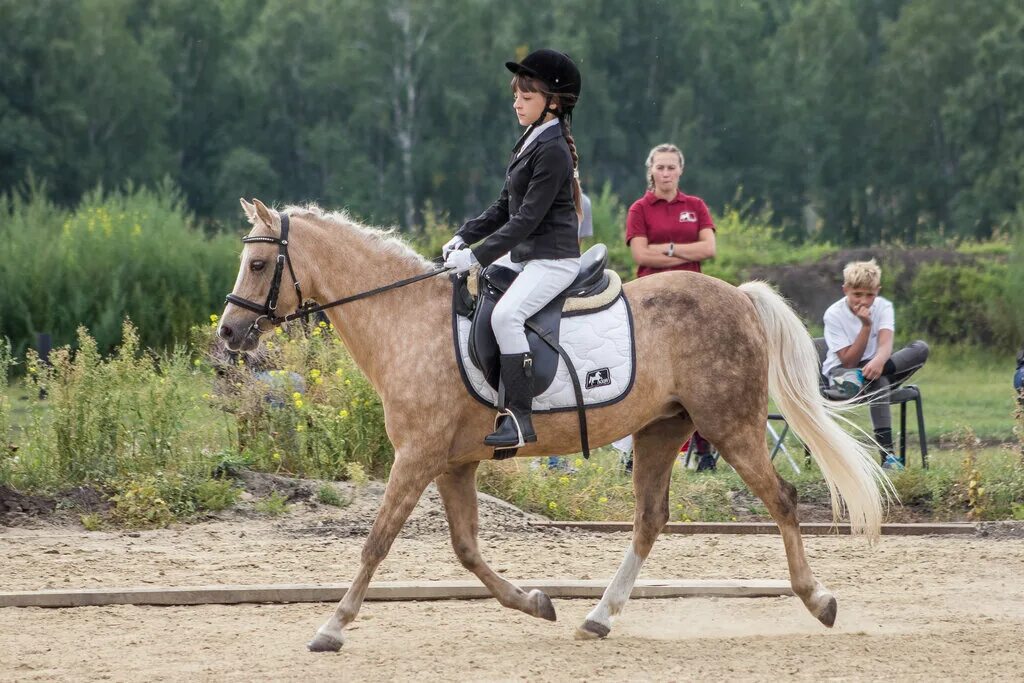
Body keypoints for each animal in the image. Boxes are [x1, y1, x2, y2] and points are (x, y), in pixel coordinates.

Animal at [222, 198, 888, 651]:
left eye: (257, 262)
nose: (228, 333)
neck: (404, 317)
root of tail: (739, 297)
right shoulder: (452, 462)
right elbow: (466, 550)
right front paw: (537, 603)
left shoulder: (417, 455)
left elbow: (377, 541)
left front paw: (331, 626)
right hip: (661, 430)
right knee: (650, 520)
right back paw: (598, 616)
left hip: (730, 424)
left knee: (782, 498)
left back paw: (820, 601)